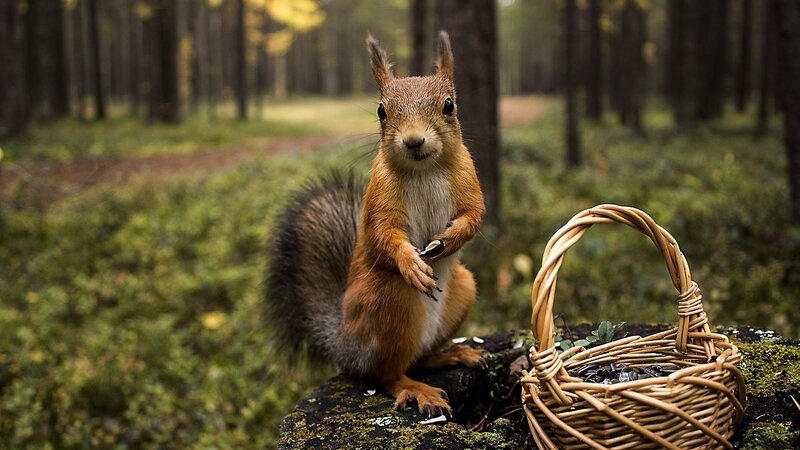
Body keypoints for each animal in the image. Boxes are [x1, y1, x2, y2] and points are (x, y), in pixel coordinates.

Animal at [265, 31, 485, 416]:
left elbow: (474, 216)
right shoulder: (380, 198)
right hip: (388, 301)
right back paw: (416, 388)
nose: (413, 140)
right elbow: (384, 234)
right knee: (386, 373)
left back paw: (452, 354)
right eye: (382, 111)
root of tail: (345, 345)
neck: (425, 170)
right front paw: (411, 263)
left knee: (418, 357)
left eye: (449, 105)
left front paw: (451, 239)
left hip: (463, 289)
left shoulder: (469, 182)